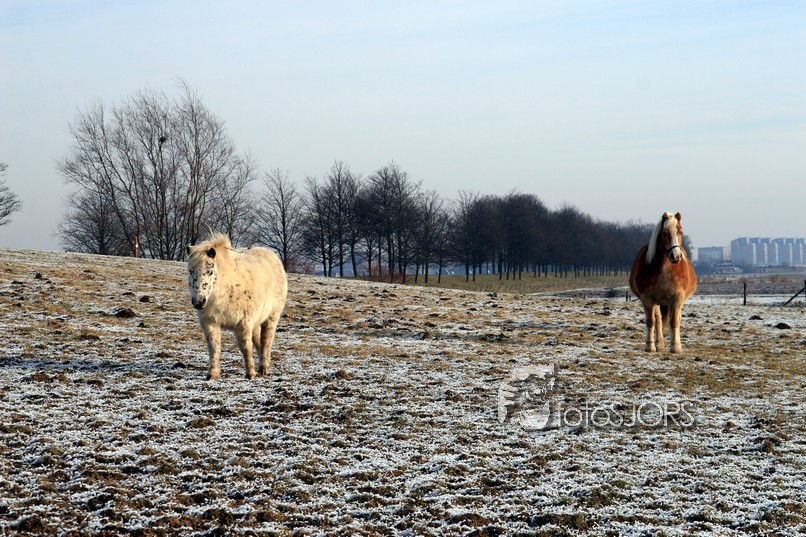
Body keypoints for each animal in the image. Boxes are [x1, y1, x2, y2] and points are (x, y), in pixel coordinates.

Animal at [186, 233, 287, 380]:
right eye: (191, 271)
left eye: (210, 271)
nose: (199, 301)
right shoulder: (210, 323)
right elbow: (214, 347)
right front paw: (212, 374)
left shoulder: (243, 323)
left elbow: (245, 347)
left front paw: (250, 374)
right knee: (258, 342)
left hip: (271, 317)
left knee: (266, 341)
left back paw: (263, 368)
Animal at [629, 211, 697, 353]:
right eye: (665, 233)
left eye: (681, 232)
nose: (676, 256)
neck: (665, 267)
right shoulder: (647, 299)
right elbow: (651, 321)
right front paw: (650, 346)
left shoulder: (677, 298)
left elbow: (674, 321)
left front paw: (676, 347)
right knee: (658, 320)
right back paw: (659, 344)